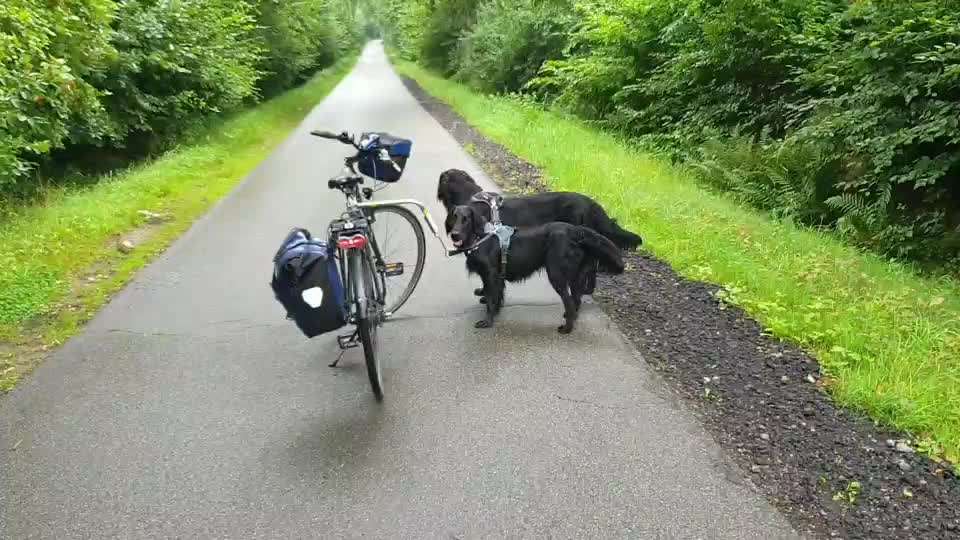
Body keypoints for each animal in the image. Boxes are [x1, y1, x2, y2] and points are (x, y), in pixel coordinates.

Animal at [446, 205, 628, 334]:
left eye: (466, 219)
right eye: (454, 218)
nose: (455, 234)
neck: (479, 238)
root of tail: (575, 230)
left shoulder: (491, 274)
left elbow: (492, 298)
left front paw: (488, 320)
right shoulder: (494, 276)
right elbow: (494, 294)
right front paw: (489, 302)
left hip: (556, 274)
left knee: (569, 301)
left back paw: (566, 329)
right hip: (574, 274)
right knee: (576, 298)